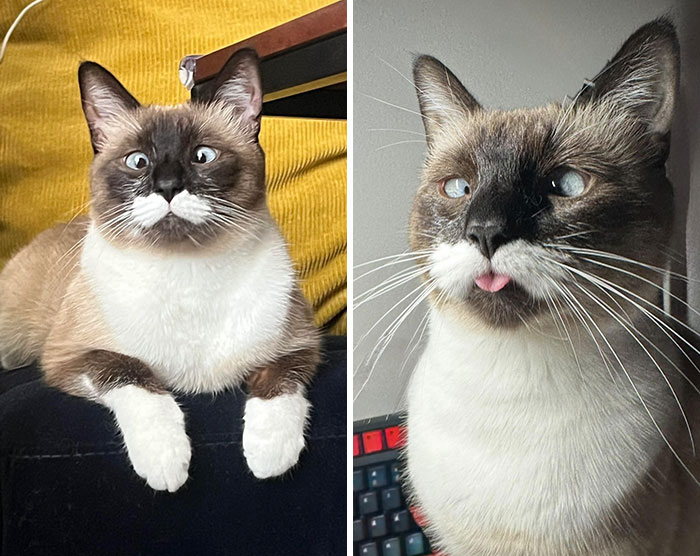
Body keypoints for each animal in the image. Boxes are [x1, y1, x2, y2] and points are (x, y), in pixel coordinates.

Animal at [0, 47, 320, 490]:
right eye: (138, 161)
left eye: (202, 156)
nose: (168, 187)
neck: (187, 271)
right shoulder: (69, 358)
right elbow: (134, 376)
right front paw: (167, 463)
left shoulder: (302, 345)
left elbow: (279, 384)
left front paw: (268, 456)